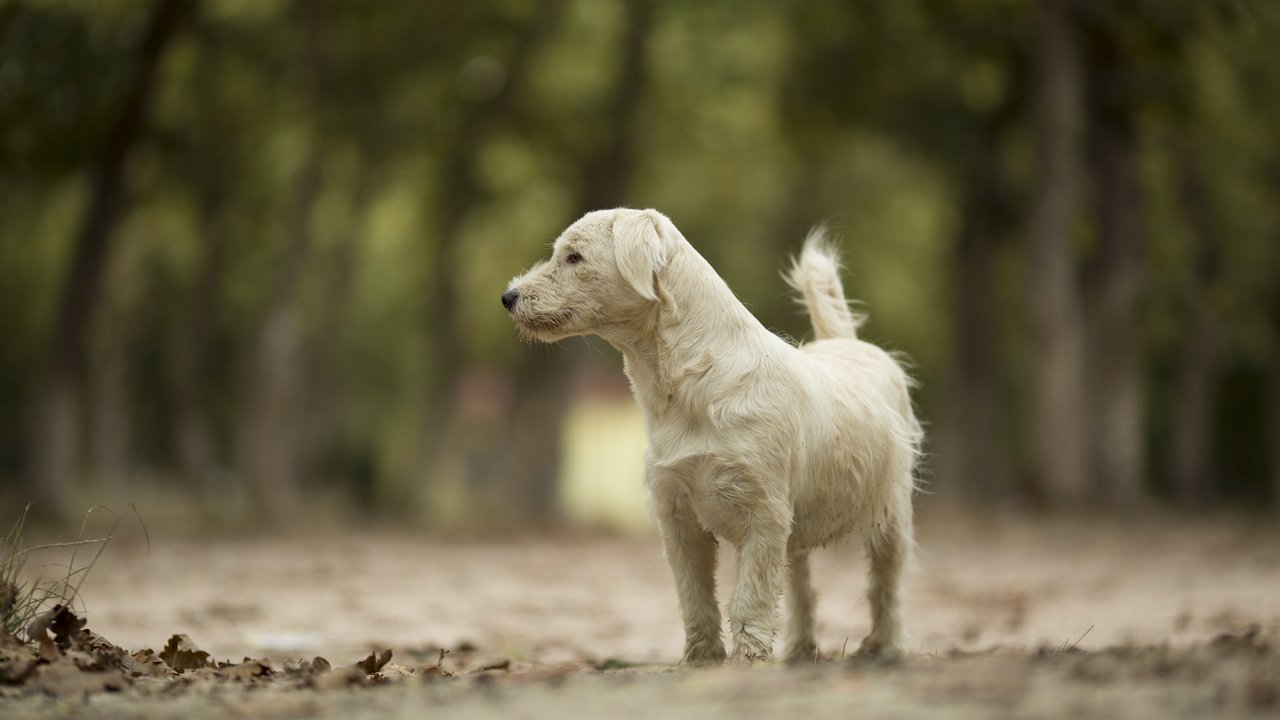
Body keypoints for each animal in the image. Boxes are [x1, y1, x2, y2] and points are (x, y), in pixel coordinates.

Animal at [499, 207, 921, 661]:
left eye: (574, 257)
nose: (508, 297)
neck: (690, 381)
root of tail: (848, 343)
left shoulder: (764, 516)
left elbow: (750, 596)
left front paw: (748, 658)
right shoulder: (678, 515)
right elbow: (695, 596)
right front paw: (702, 658)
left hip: (890, 514)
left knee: (886, 583)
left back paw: (885, 646)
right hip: (801, 531)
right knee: (802, 587)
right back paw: (800, 649)